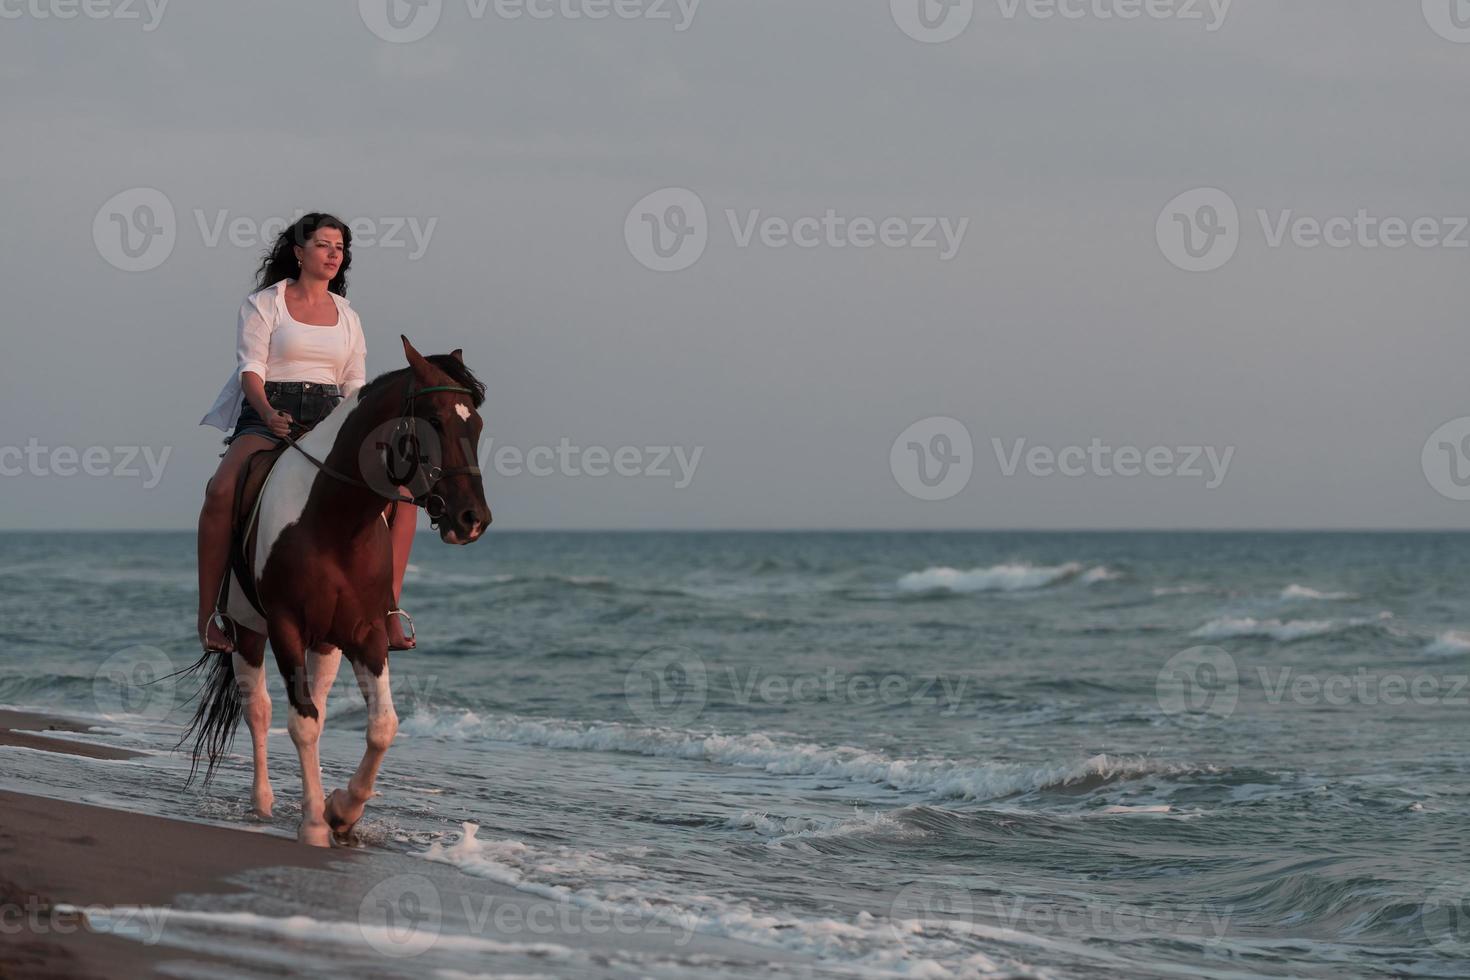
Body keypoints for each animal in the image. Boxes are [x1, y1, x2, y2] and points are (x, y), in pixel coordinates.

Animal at [180, 334, 490, 846]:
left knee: (320, 707)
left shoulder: (366, 633)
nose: (473, 520)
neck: (335, 521)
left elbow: (382, 725)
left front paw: (341, 810)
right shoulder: (285, 627)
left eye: (477, 426)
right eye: (434, 421)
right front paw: (313, 823)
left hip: (326, 641)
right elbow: (300, 722)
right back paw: (262, 804)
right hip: (247, 632)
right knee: (259, 710)